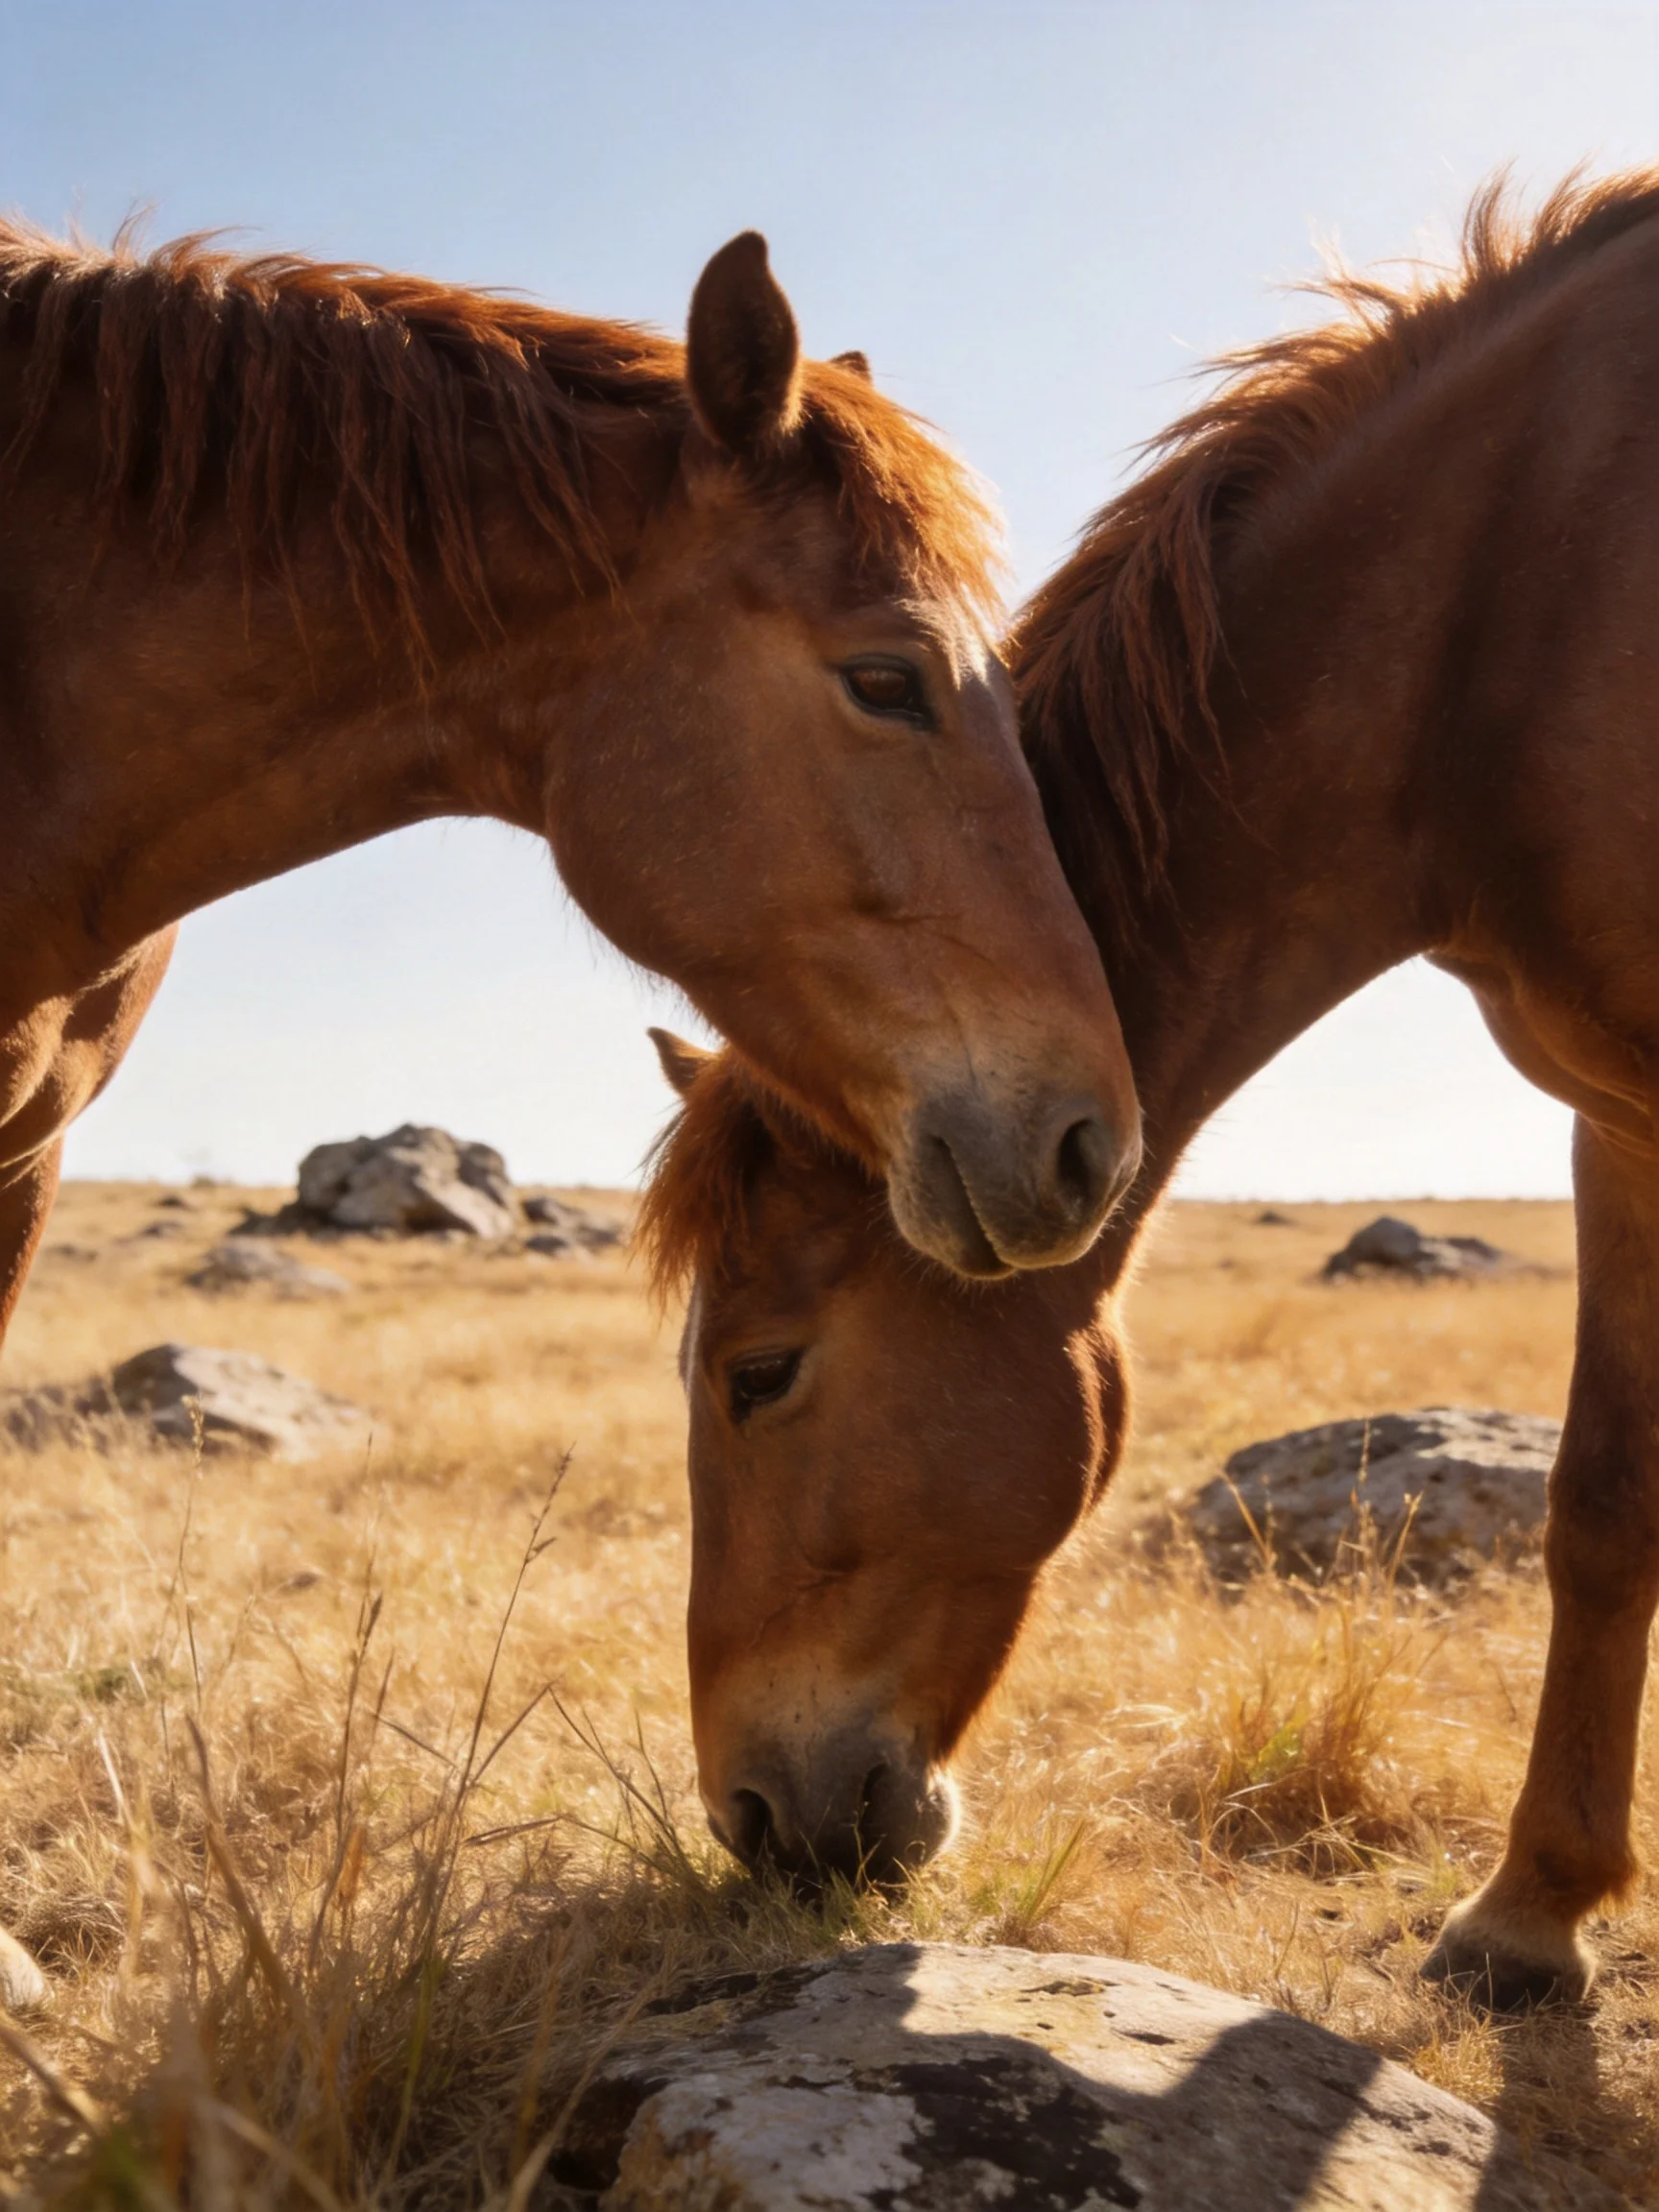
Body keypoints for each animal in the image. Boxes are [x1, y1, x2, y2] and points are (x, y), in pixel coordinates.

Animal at [640, 170, 1659, 2011]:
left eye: (759, 1373)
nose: (751, 1816)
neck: (1513, 602)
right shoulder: (1614, 1123)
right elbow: (1603, 1500)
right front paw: (1530, 1911)